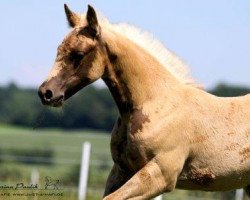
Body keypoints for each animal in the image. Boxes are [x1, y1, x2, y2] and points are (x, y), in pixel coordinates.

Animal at [37, 3, 250, 199]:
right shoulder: (121, 170)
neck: (156, 103)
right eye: (58, 49)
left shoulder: (161, 175)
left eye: (78, 54)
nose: (46, 93)